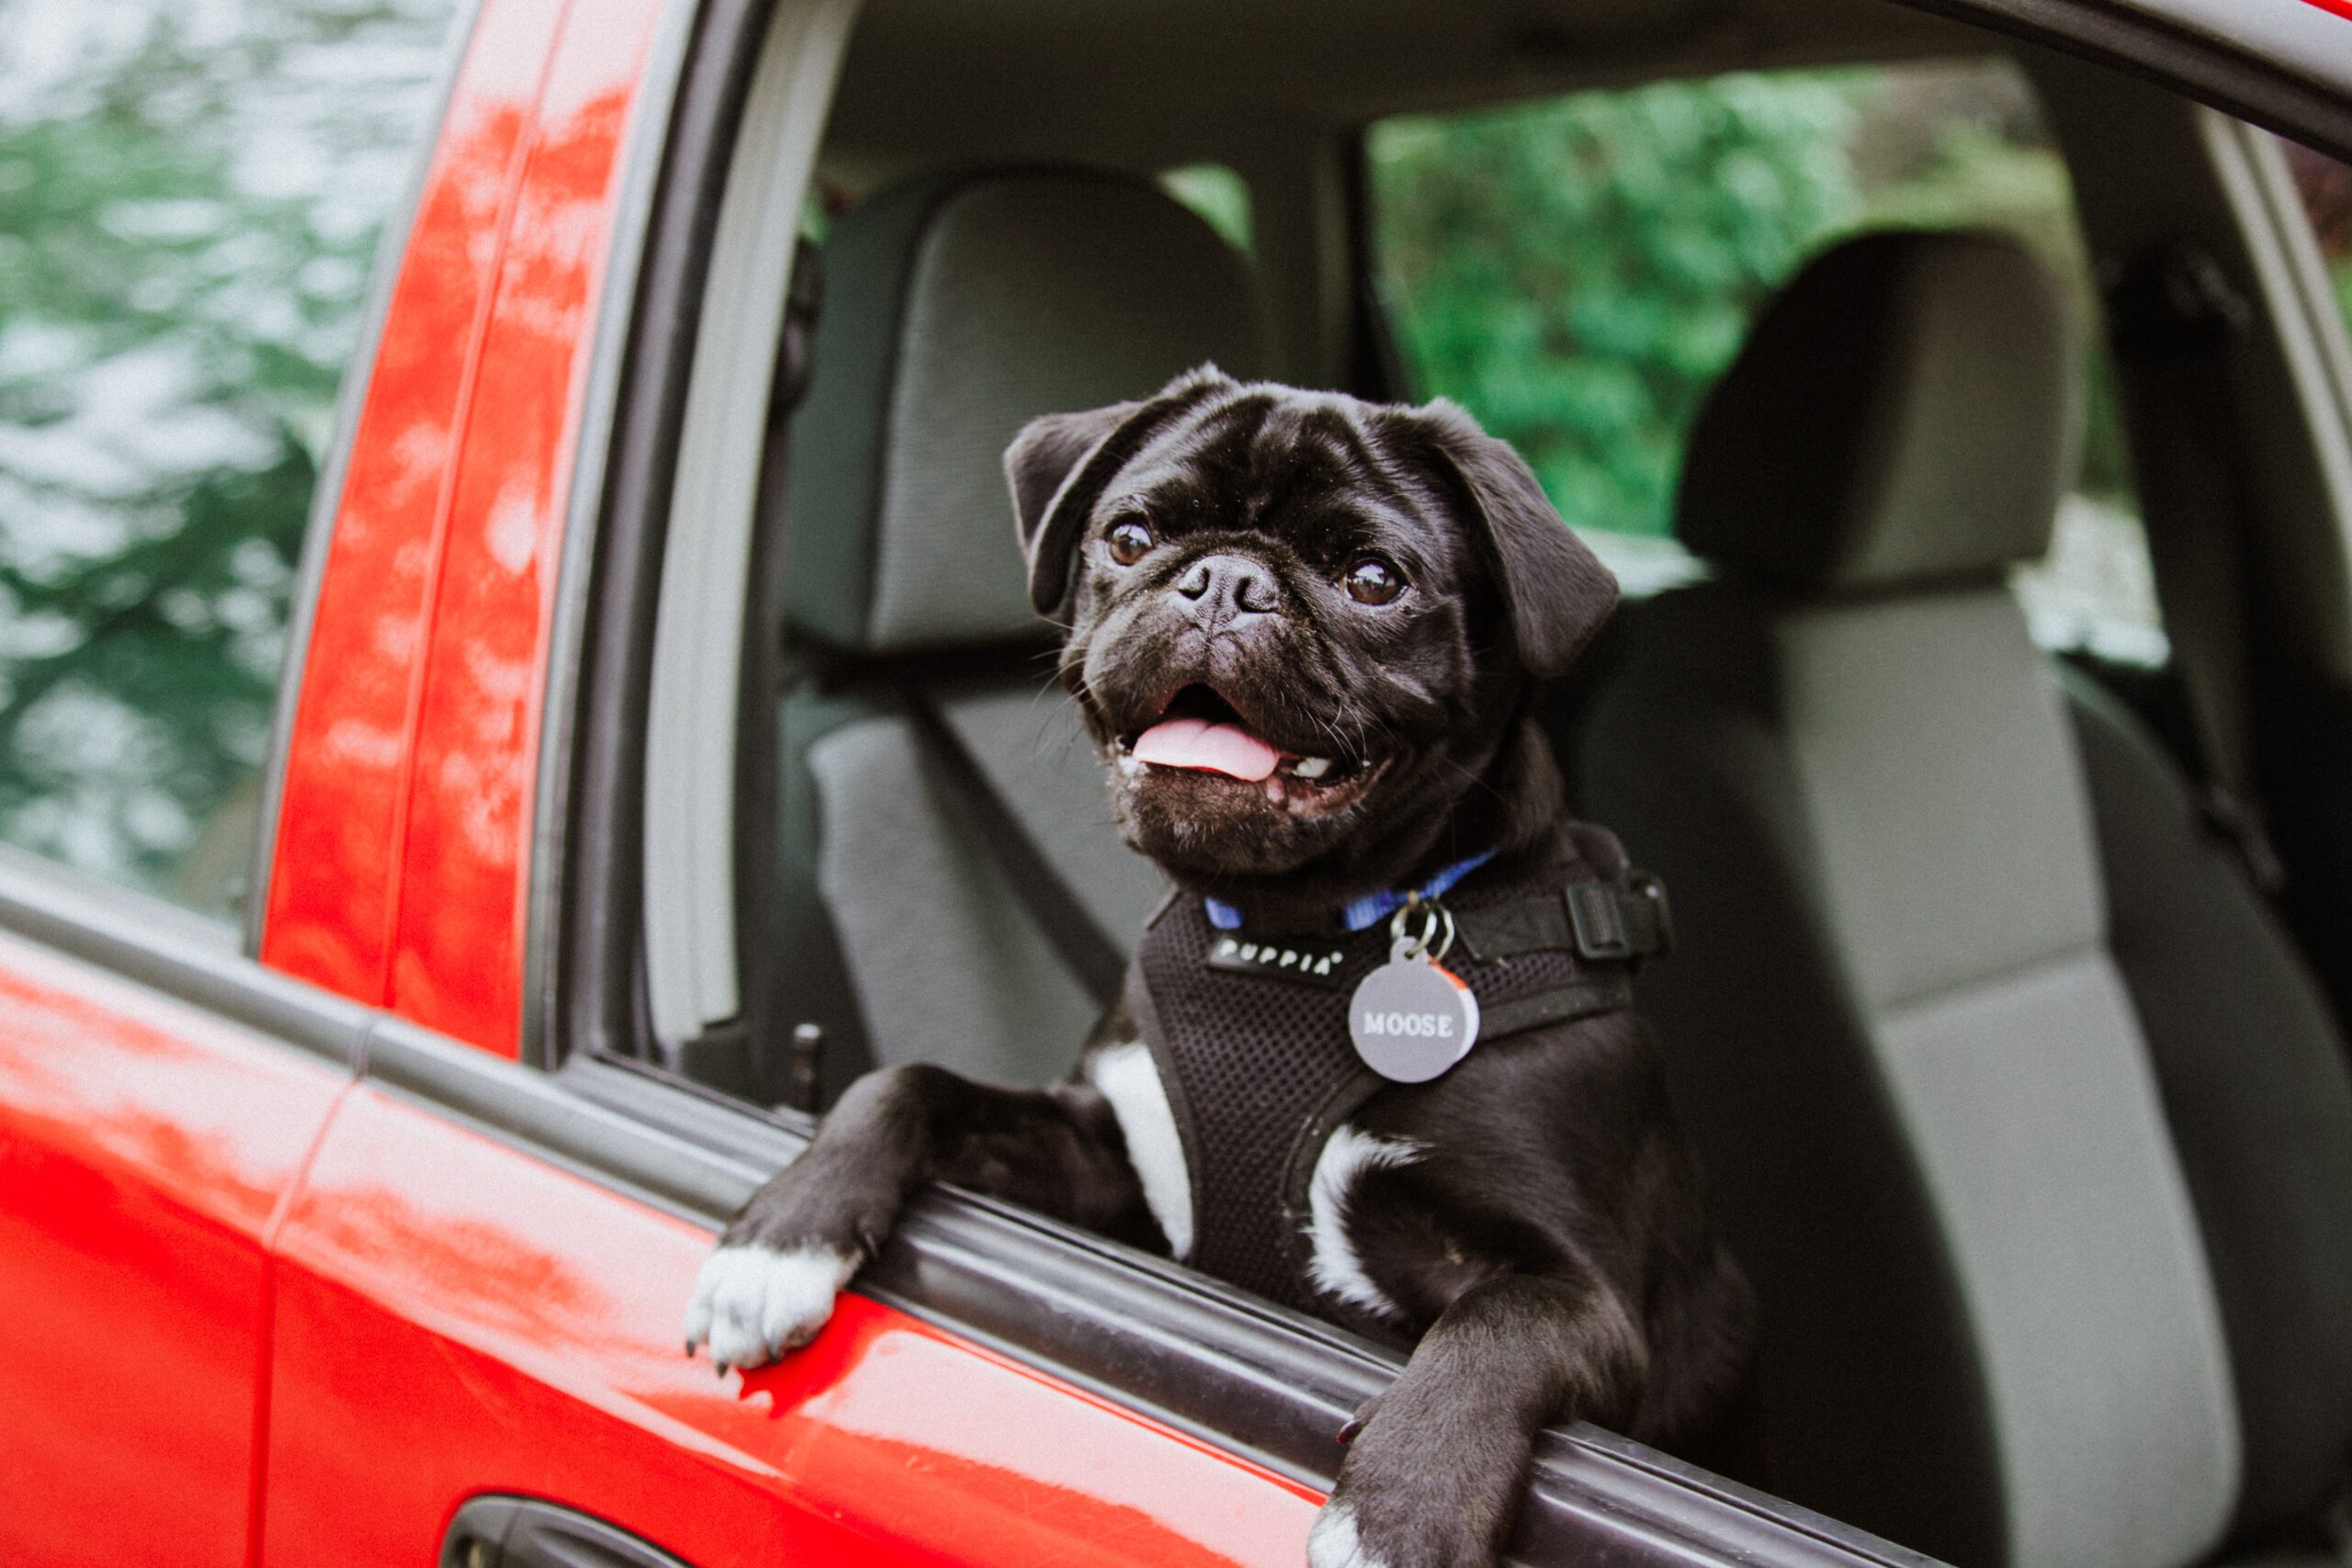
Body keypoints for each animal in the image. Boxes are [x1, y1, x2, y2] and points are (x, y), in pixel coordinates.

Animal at [682, 368, 1749, 1568]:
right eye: (1131, 535)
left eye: (1373, 579)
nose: (1225, 580)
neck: (1297, 938)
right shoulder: (1107, 1162)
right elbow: (905, 1084)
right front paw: (782, 1234)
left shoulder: (1585, 1296)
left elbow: (1495, 1327)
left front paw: (1398, 1513)